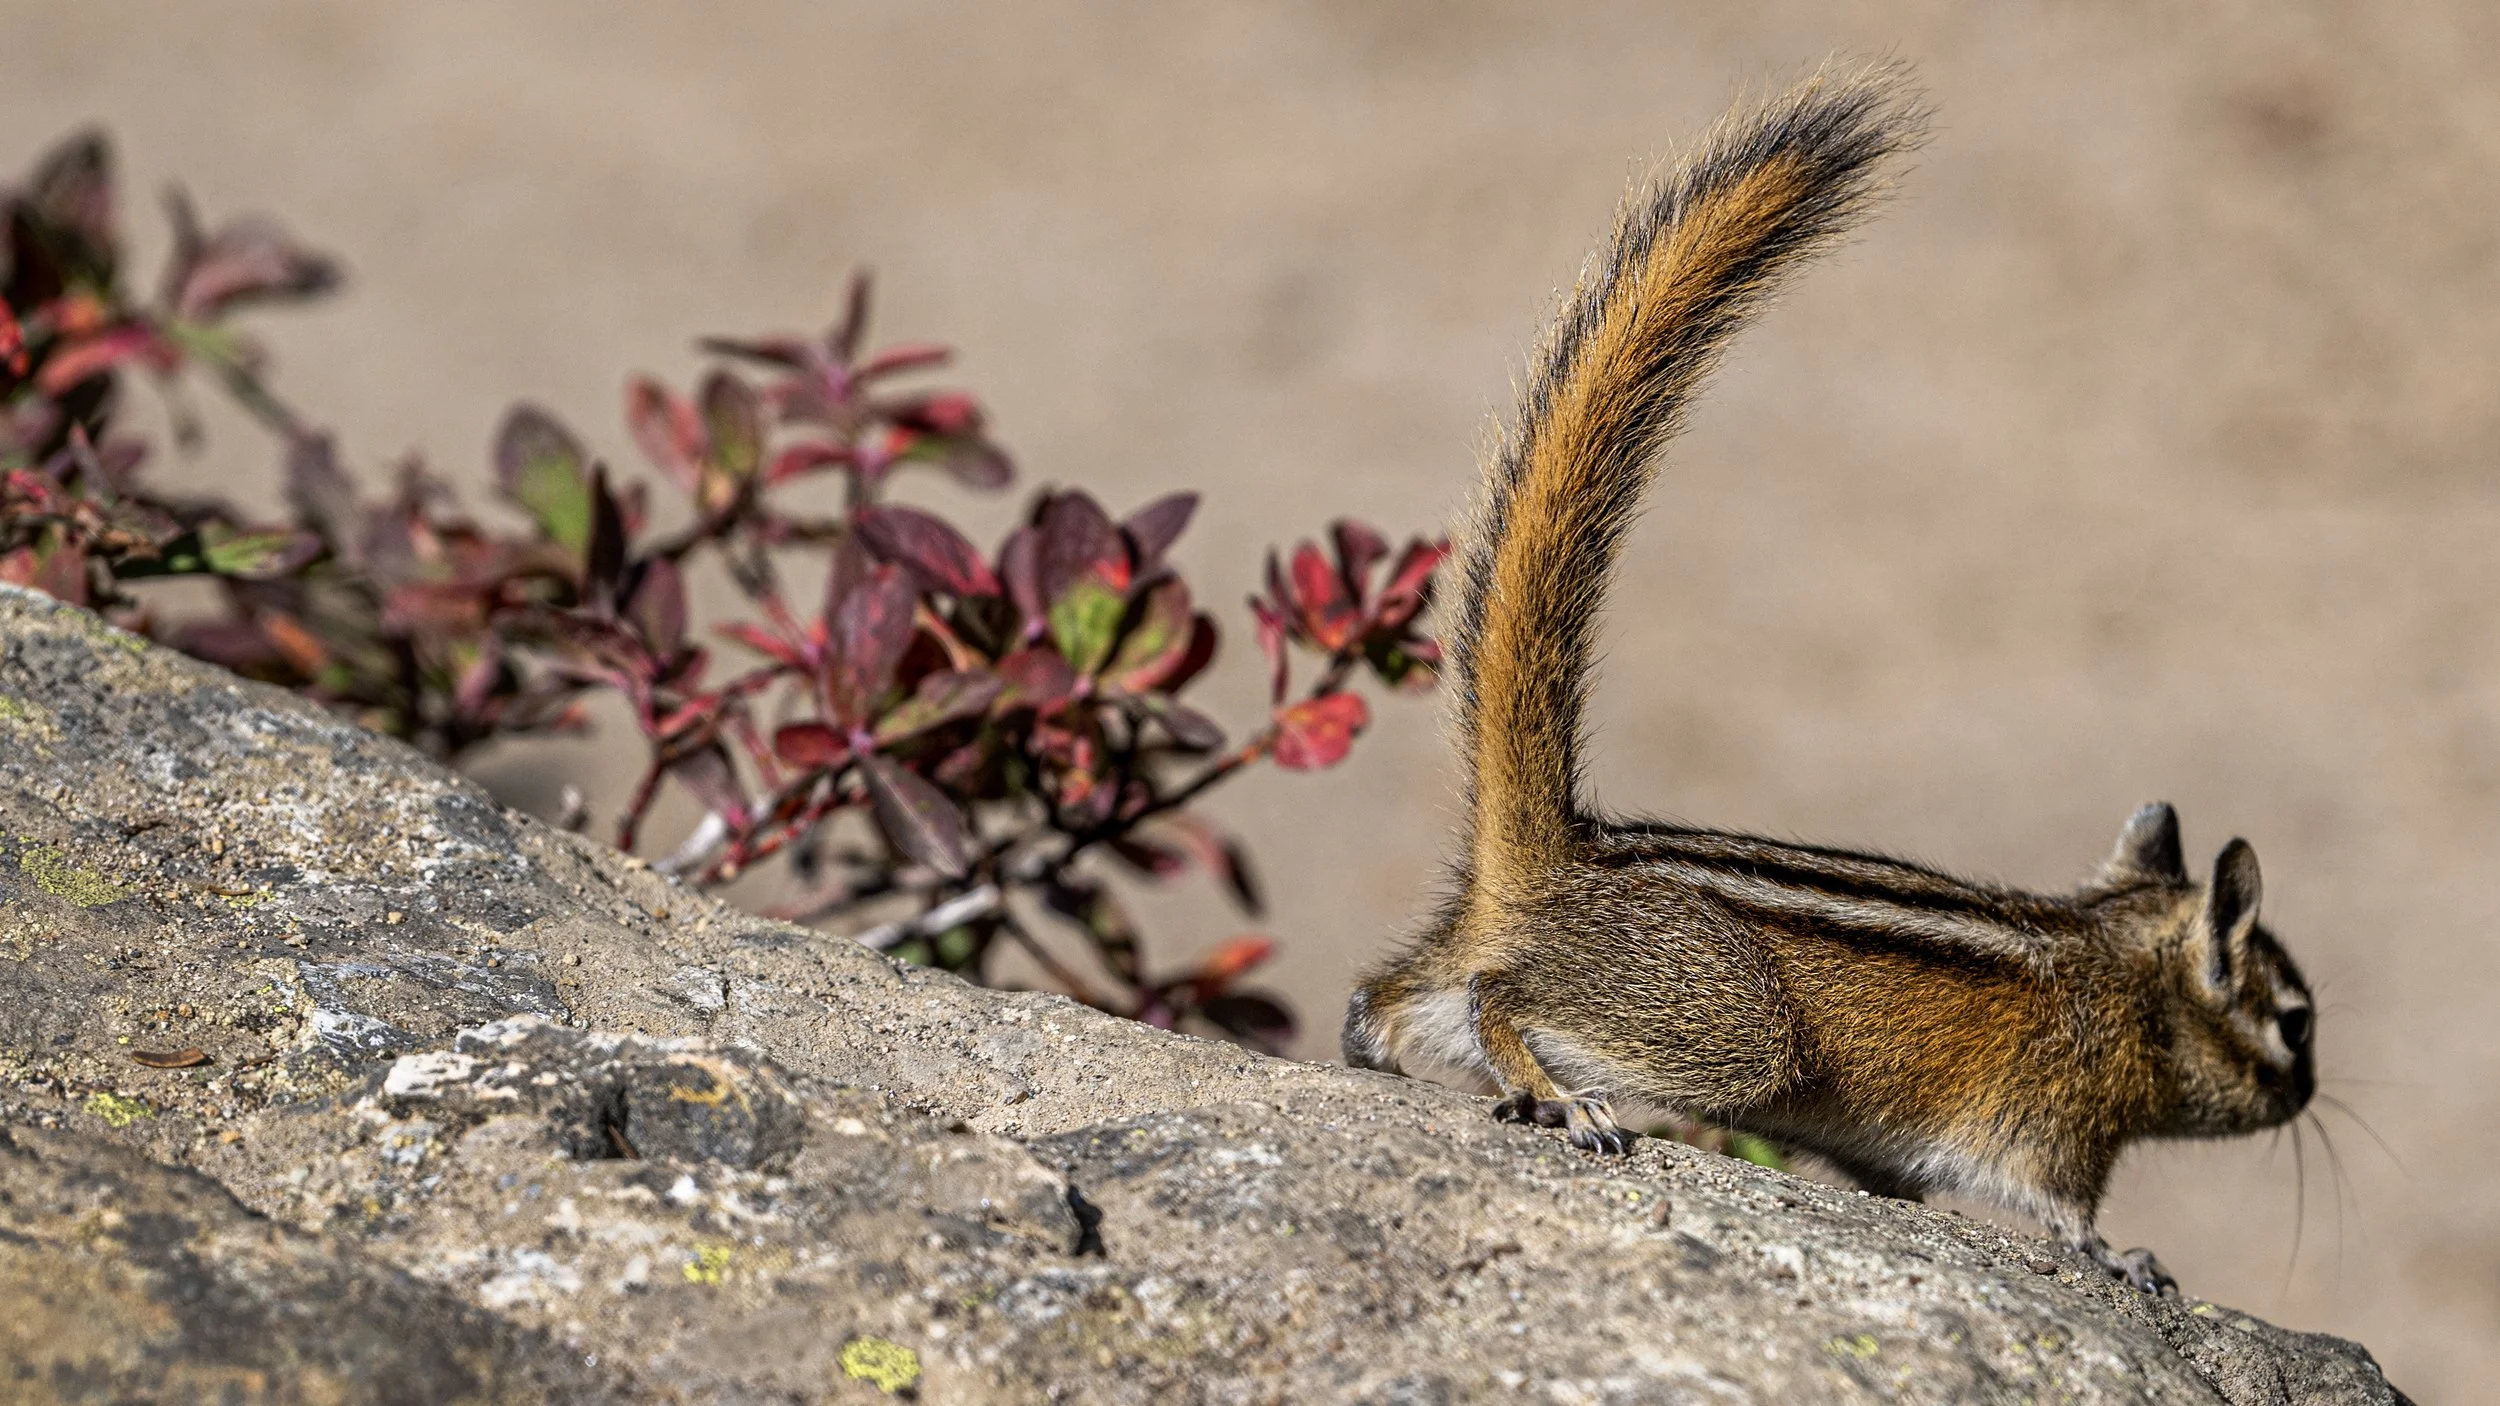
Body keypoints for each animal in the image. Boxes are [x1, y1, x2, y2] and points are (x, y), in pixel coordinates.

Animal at [1340, 65, 2318, 1294]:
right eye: (2296, 1018)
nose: (2311, 1090)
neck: (2123, 968)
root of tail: (1560, 857)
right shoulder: (2059, 1117)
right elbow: (2069, 1207)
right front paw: (2126, 1257)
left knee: (1390, 998)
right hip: (1735, 1037)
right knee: (1497, 995)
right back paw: (1565, 1098)